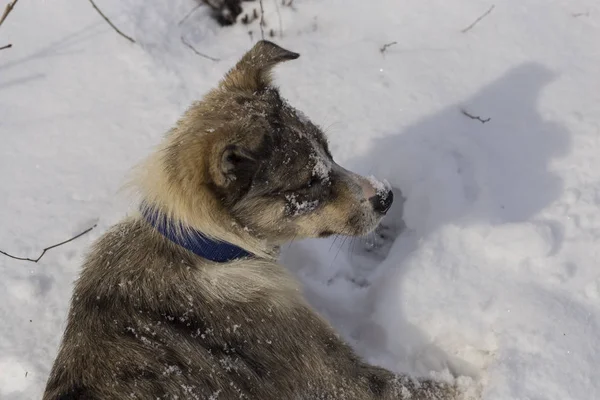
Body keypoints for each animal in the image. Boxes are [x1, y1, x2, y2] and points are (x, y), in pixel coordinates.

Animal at [43, 41, 464, 400]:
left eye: (328, 151)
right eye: (309, 182)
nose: (386, 197)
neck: (210, 248)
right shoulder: (335, 376)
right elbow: (425, 387)